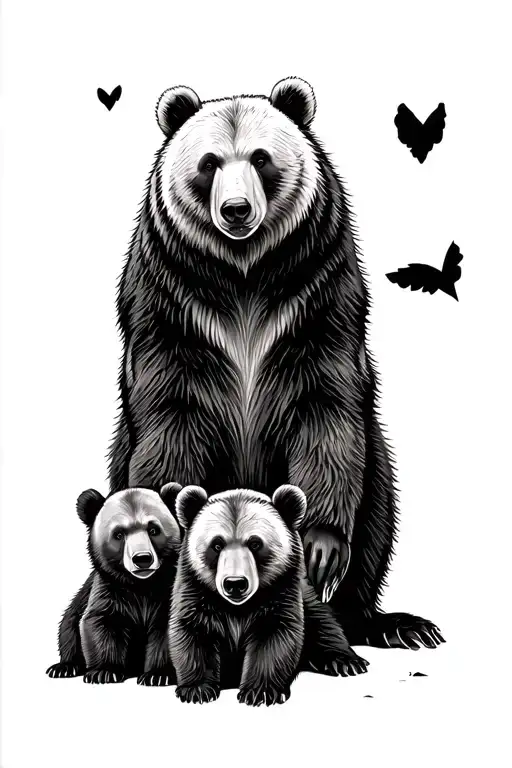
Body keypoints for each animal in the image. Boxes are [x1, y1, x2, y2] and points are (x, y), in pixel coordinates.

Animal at [46, 483, 182, 685]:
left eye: (153, 530)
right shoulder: (109, 588)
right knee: (68, 625)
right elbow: (100, 621)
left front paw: (158, 674)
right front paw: (104, 671)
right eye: (118, 534)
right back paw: (65, 667)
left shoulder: (168, 589)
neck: (142, 584)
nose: (142, 559)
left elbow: (167, 628)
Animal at [108, 76, 445, 651]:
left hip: (377, 462)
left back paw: (392, 623)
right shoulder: (172, 309)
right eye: (209, 162)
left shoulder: (316, 298)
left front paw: (322, 550)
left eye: (261, 158)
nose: (237, 209)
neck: (243, 275)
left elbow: (324, 409)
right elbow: (172, 416)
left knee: (379, 508)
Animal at [170, 484, 369, 706]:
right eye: (217, 544)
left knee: (323, 622)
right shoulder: (196, 591)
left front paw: (260, 692)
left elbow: (274, 636)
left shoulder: (281, 591)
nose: (235, 584)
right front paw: (197, 689)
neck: (237, 607)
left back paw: (345, 661)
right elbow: (193, 631)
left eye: (255, 543)